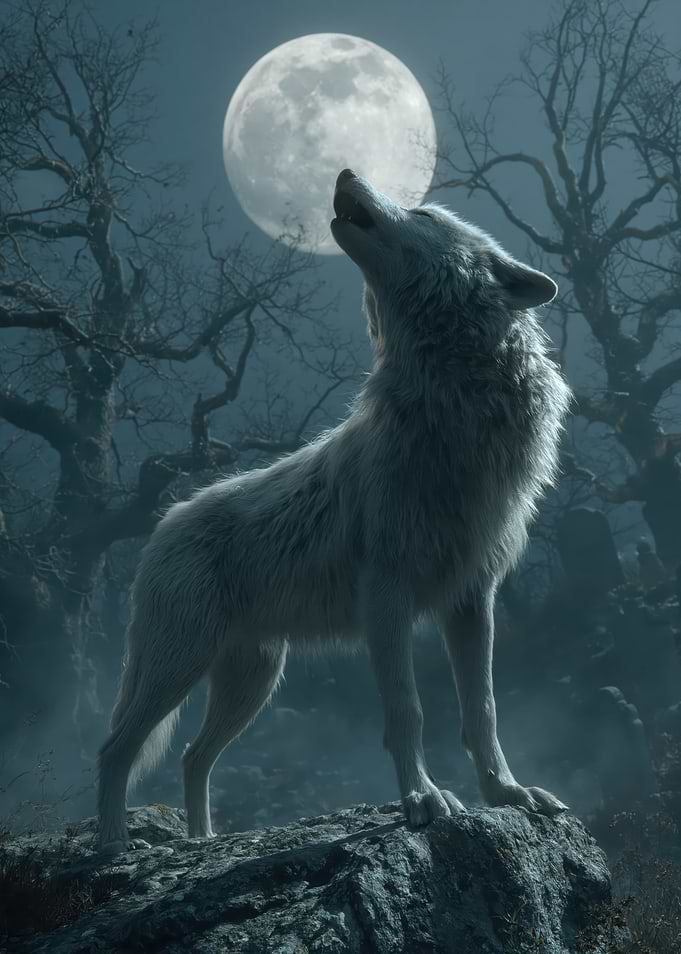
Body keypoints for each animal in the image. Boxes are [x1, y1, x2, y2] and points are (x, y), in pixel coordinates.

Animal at [97, 168, 573, 854]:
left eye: (424, 213)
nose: (346, 172)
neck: (454, 403)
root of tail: (165, 522)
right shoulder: (386, 595)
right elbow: (407, 710)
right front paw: (423, 799)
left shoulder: (471, 599)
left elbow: (481, 710)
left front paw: (506, 794)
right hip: (180, 664)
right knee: (117, 748)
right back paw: (111, 844)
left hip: (250, 681)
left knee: (191, 756)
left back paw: (205, 841)